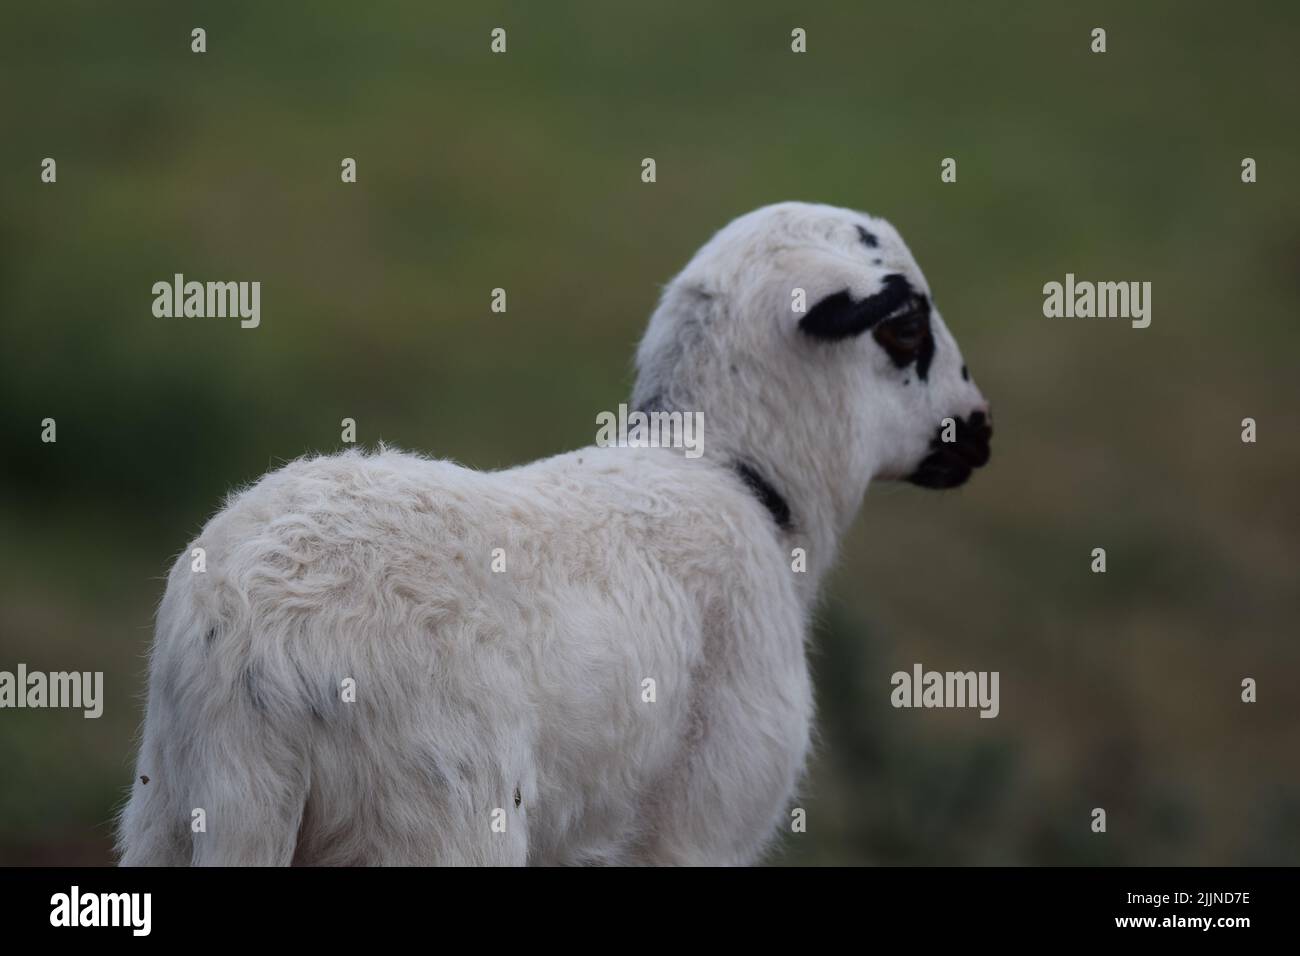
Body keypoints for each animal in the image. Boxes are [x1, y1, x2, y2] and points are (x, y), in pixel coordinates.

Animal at [119, 201, 993, 868]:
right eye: (906, 328)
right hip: (438, 819)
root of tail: (256, 650)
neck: (733, 474)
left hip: (168, 812)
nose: (981, 431)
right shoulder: (705, 822)